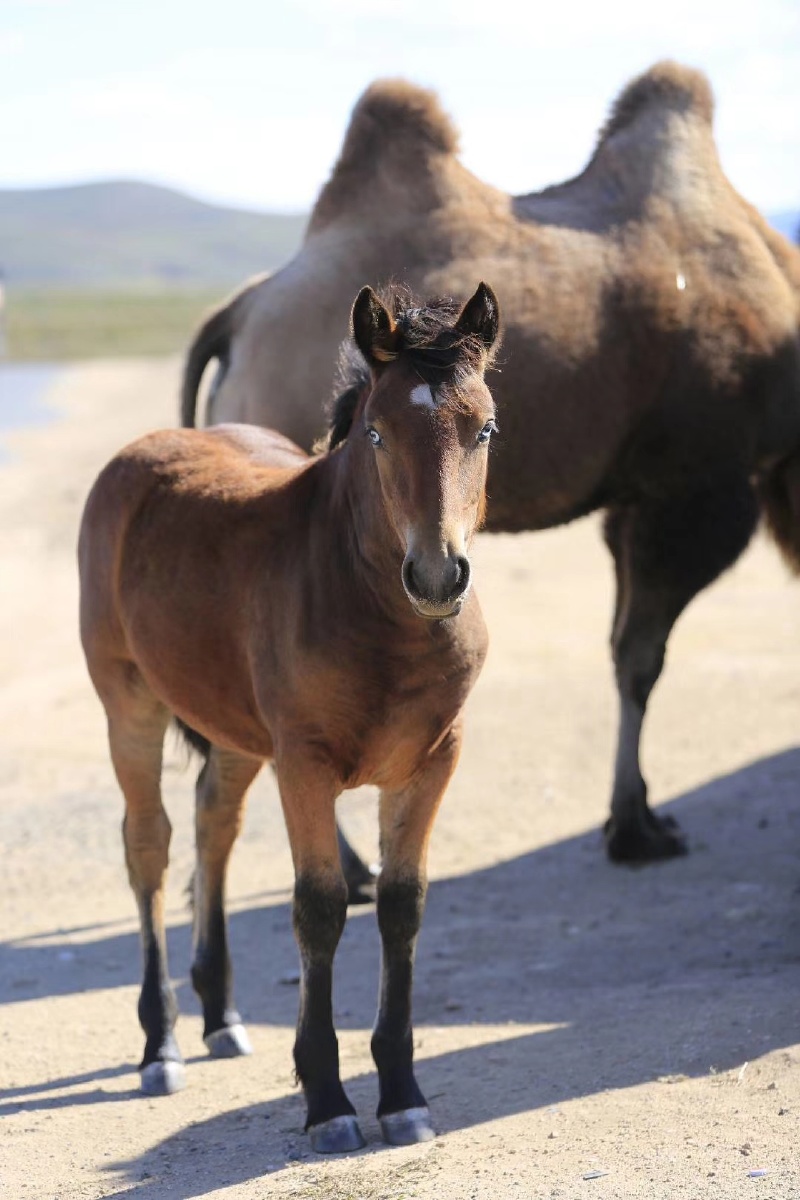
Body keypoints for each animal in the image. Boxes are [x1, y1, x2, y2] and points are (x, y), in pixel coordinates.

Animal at [78, 282, 500, 1152]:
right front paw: (328, 1100)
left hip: (238, 733)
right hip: (128, 703)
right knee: (149, 847)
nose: (438, 576)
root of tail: (146, 451)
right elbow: (321, 908)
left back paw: (220, 1015)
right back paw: (161, 1043)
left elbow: (403, 906)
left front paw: (403, 1094)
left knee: (214, 825)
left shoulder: (435, 757)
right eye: (376, 431)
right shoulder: (304, 764)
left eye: (484, 427)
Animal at [181, 61, 800, 867]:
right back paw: (351, 868)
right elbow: (640, 658)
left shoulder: (632, 497)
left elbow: (624, 648)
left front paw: (635, 816)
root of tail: (240, 314)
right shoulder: (694, 487)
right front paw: (634, 828)